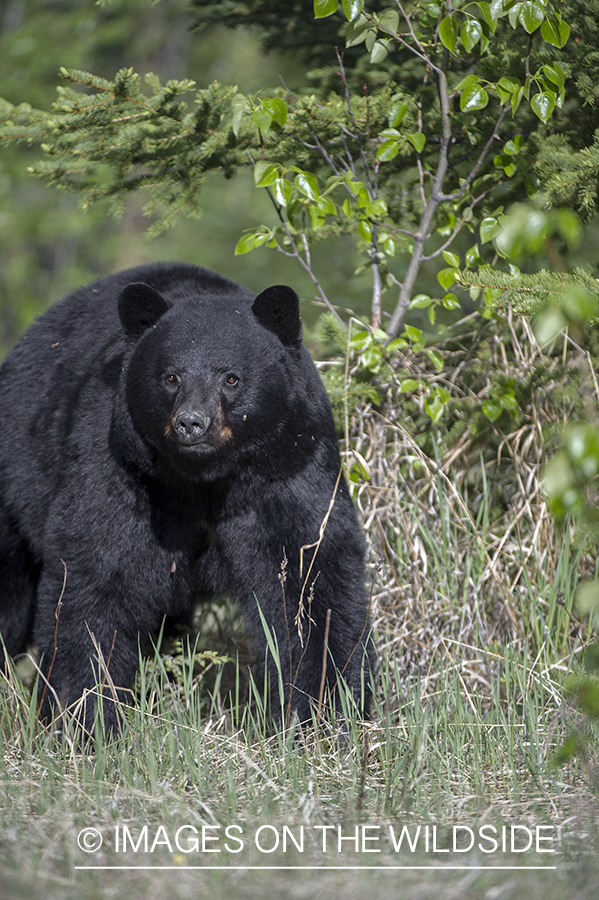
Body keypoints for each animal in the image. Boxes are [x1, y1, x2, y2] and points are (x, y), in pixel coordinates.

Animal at [0, 260, 376, 732]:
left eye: (231, 378)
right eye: (171, 376)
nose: (191, 423)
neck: (203, 483)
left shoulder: (290, 468)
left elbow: (312, 582)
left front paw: (327, 713)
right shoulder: (119, 471)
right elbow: (93, 577)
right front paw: (85, 718)